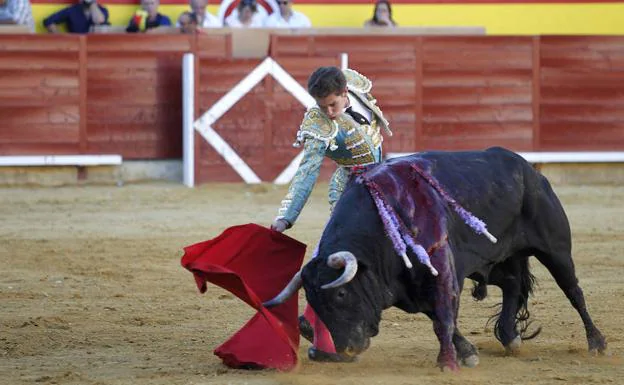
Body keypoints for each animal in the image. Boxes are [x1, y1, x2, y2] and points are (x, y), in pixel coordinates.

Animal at [266, 147, 608, 368]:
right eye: (313, 301)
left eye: (340, 294)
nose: (346, 349)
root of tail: (525, 167)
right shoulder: (420, 283)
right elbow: (438, 316)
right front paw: (466, 352)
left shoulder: (443, 272)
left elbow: (442, 317)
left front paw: (449, 361)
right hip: (494, 260)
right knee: (512, 284)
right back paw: (511, 338)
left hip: (555, 248)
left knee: (573, 291)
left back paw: (597, 343)